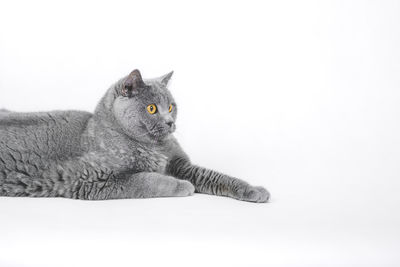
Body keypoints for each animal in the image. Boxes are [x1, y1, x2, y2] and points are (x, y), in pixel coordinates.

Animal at [0, 69, 270, 203]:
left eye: (171, 106)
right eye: (151, 108)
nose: (170, 122)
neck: (154, 148)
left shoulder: (180, 164)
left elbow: (216, 176)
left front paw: (255, 190)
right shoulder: (94, 179)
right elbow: (147, 180)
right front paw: (183, 186)